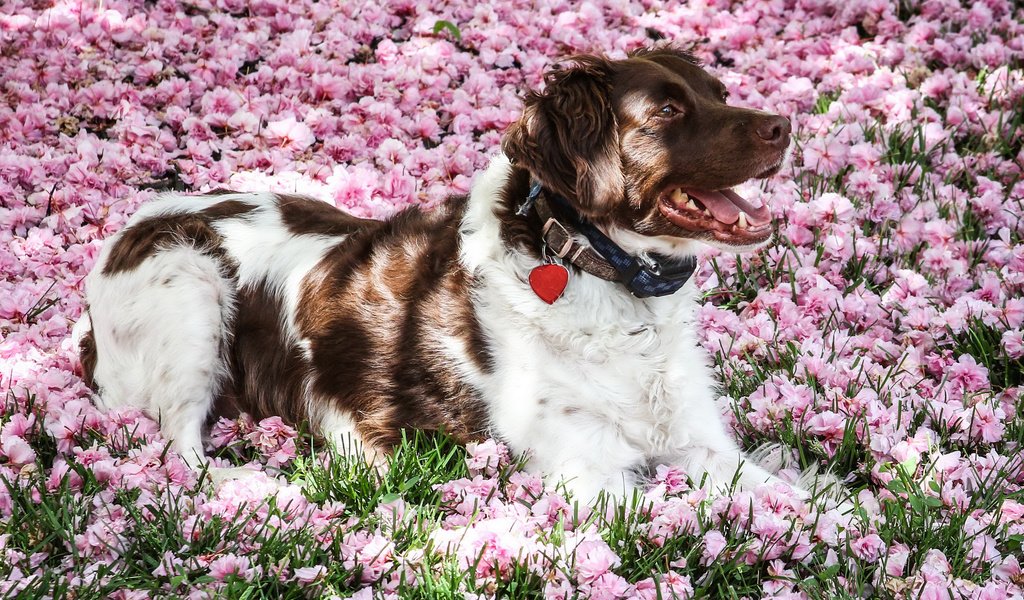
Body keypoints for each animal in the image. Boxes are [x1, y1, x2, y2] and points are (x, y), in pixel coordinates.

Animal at [74, 46, 806, 499]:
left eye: (720, 92)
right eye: (667, 111)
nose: (784, 124)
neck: (606, 282)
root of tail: (130, 228)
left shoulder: (698, 440)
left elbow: (797, 506)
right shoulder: (589, 469)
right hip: (189, 284)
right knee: (179, 447)